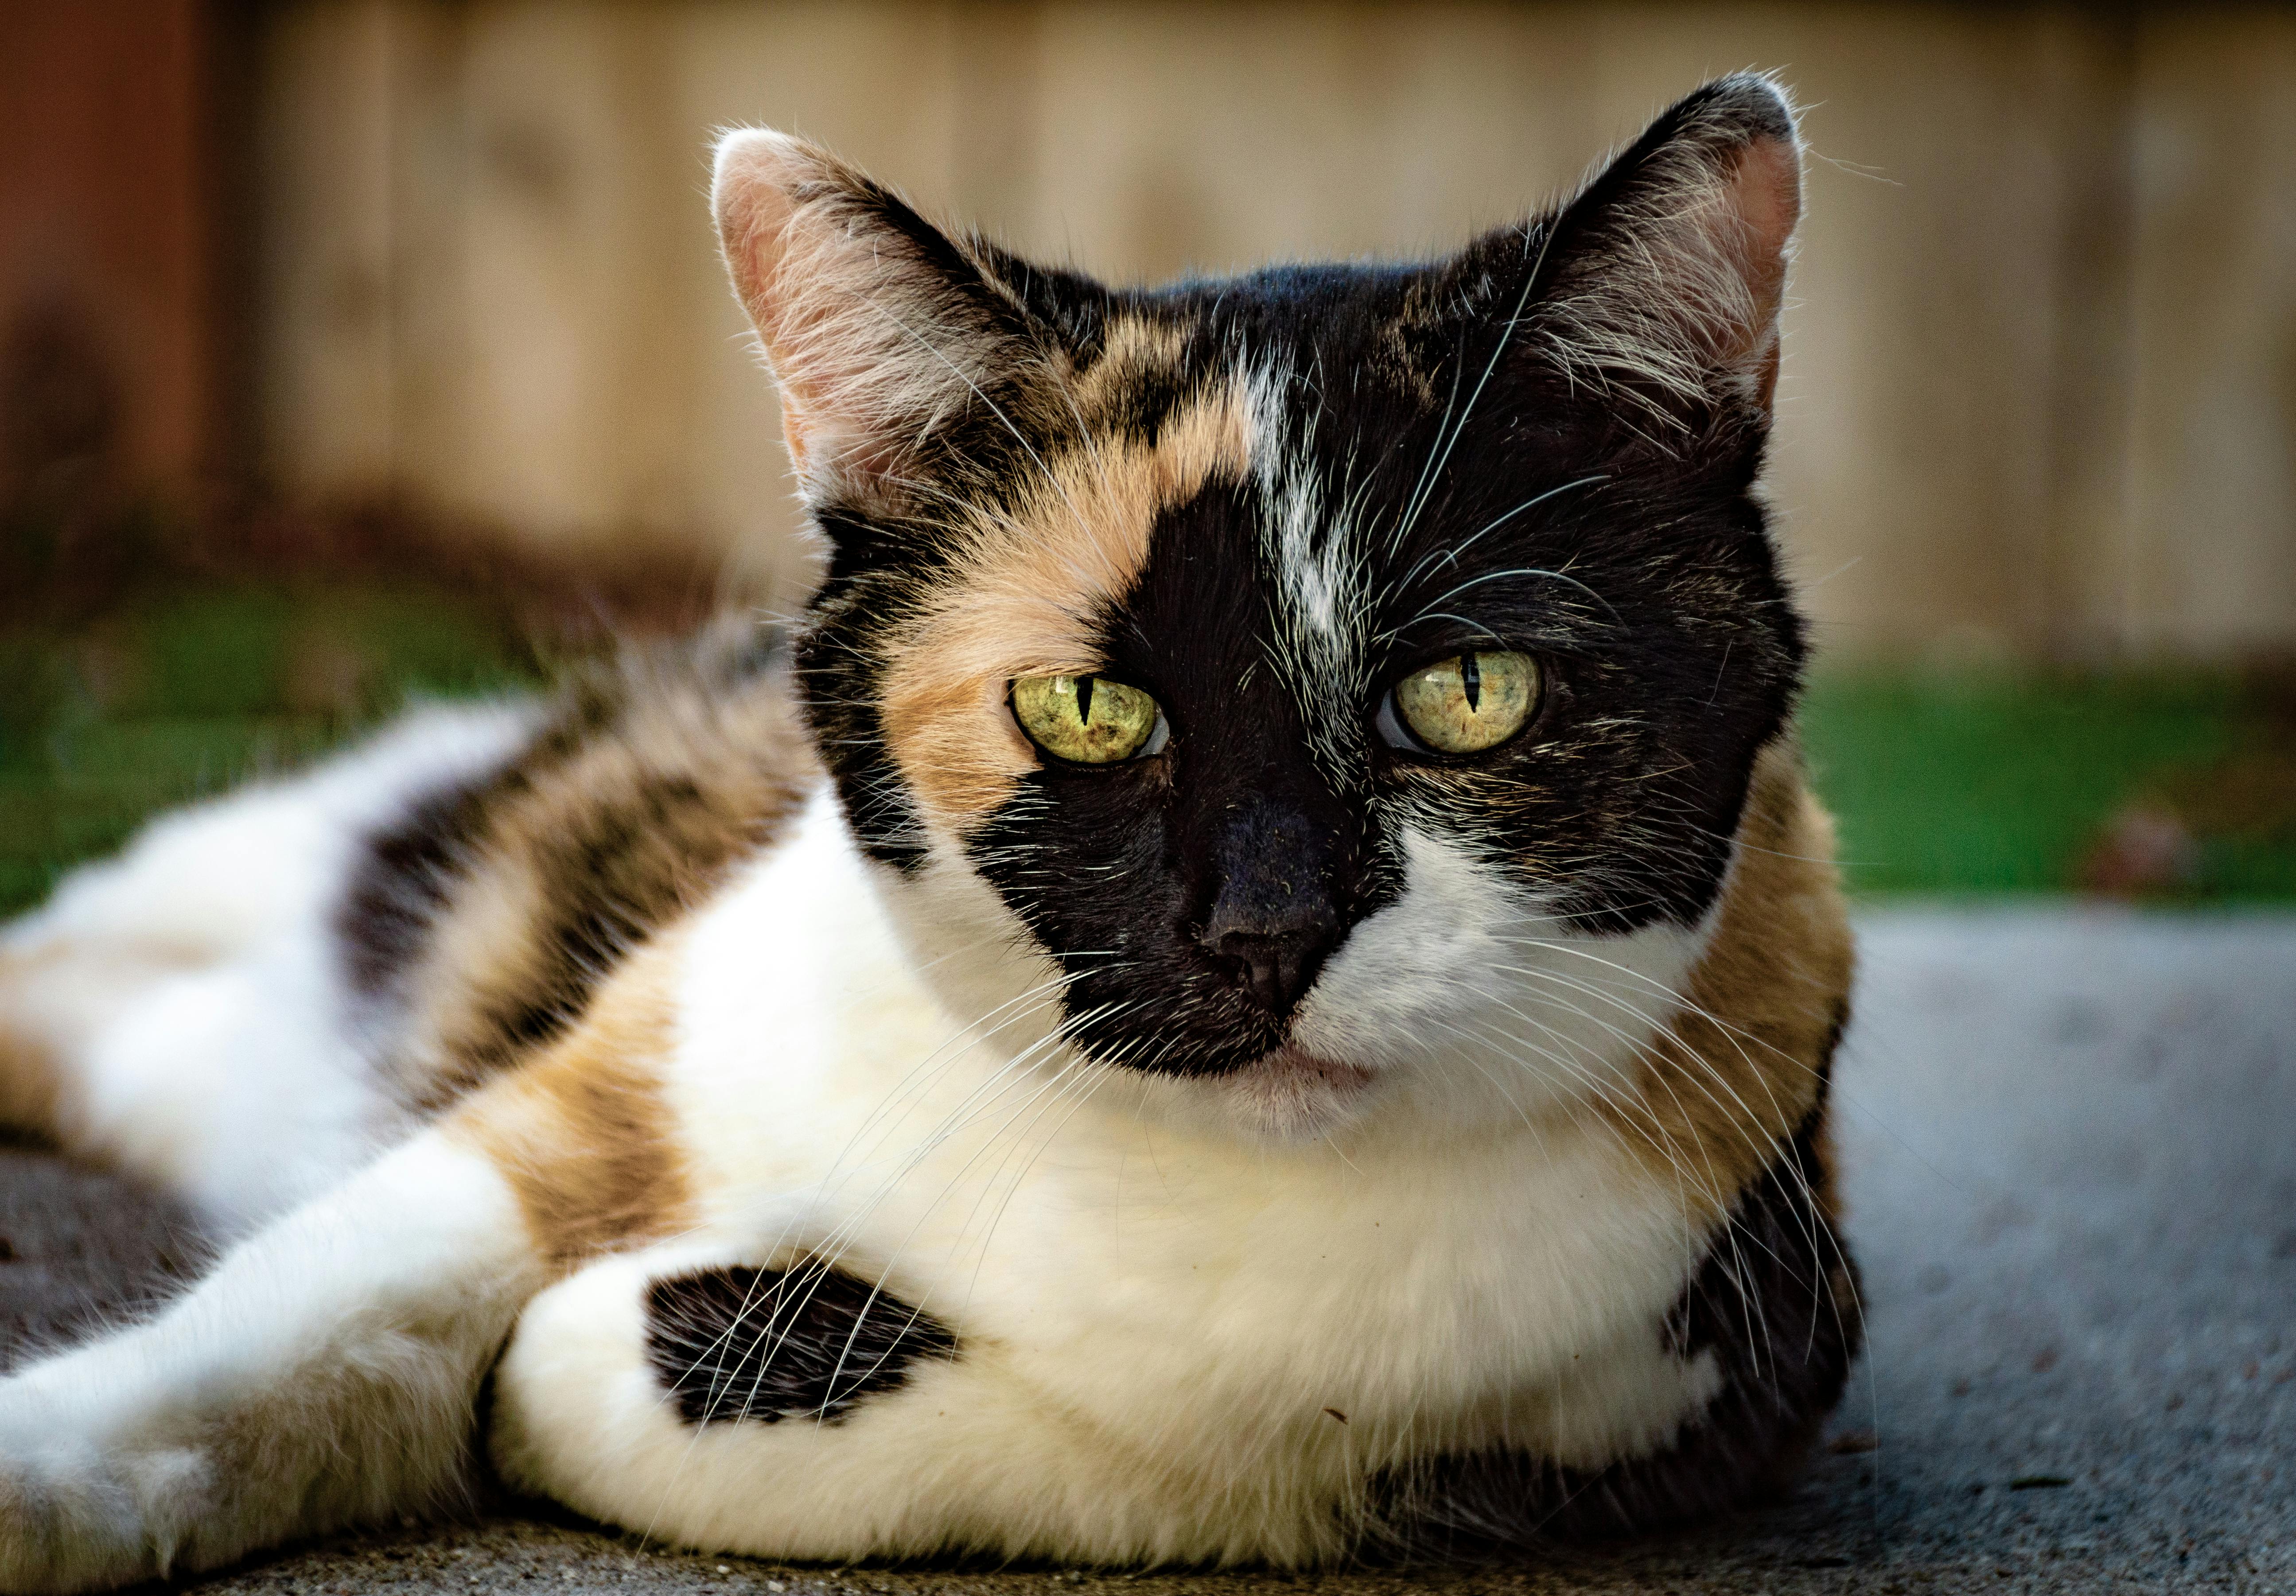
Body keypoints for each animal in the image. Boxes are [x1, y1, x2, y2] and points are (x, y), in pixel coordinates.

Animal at [0, 78, 1846, 1596]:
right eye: (1085, 708)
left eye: (1470, 693)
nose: (1263, 928)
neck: (1182, 1183)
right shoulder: (605, 1084)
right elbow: (310, 1310)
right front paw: (48, 1471)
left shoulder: (1713, 1371)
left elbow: (1112, 1455)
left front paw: (601, 1357)